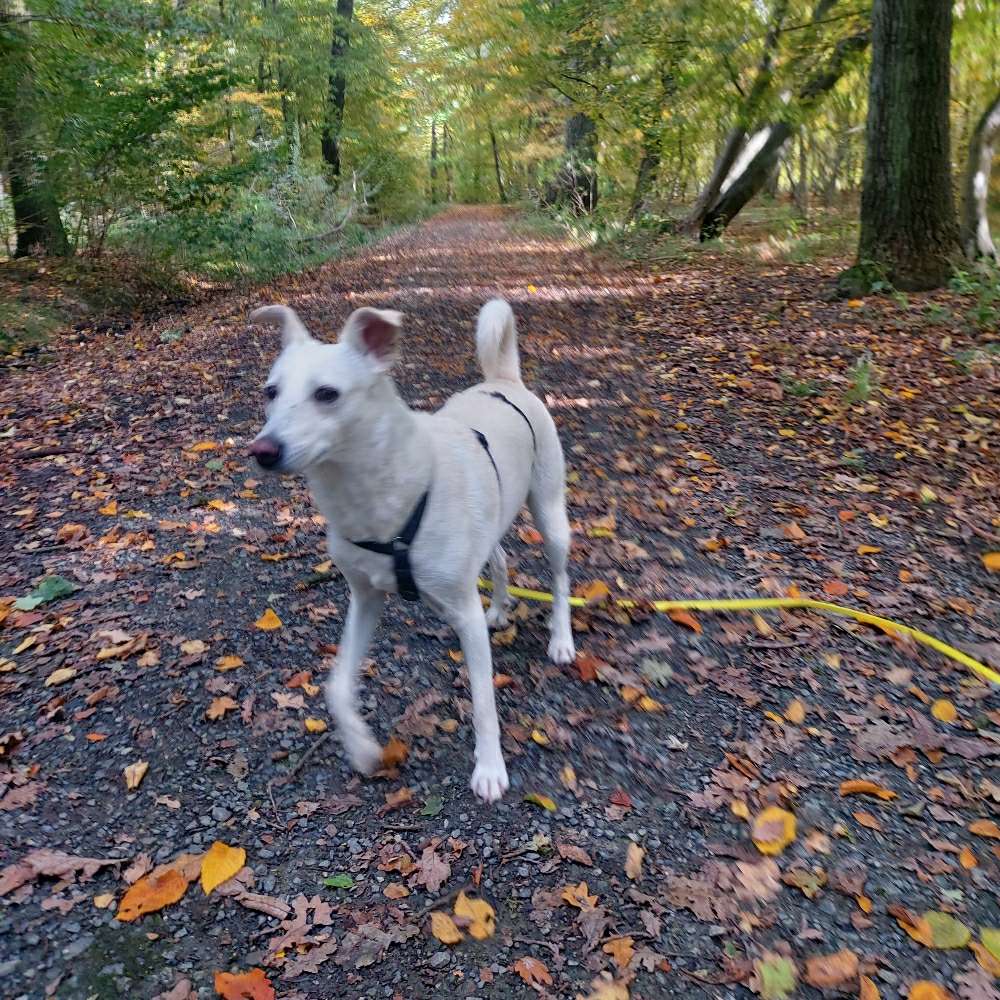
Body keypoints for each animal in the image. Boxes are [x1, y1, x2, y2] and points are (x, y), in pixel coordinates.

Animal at [248, 300, 580, 800]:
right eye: (271, 391)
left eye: (327, 394)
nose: (262, 450)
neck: (378, 497)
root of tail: (504, 382)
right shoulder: (365, 598)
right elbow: (337, 688)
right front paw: (363, 748)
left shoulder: (462, 612)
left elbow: (483, 701)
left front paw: (489, 768)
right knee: (500, 557)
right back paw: (500, 607)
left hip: (549, 514)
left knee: (559, 579)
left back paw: (561, 638)